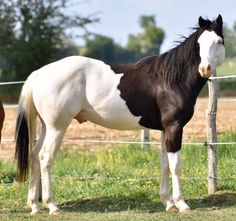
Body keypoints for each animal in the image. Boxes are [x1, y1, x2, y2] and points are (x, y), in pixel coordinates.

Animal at [14, 14, 225, 215]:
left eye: (218, 41)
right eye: (199, 44)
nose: (205, 69)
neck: (170, 80)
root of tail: (39, 74)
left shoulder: (165, 130)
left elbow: (165, 164)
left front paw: (168, 203)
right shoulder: (174, 127)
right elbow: (175, 166)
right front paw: (181, 204)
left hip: (46, 127)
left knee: (34, 156)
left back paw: (34, 205)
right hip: (57, 128)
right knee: (45, 158)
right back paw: (52, 206)